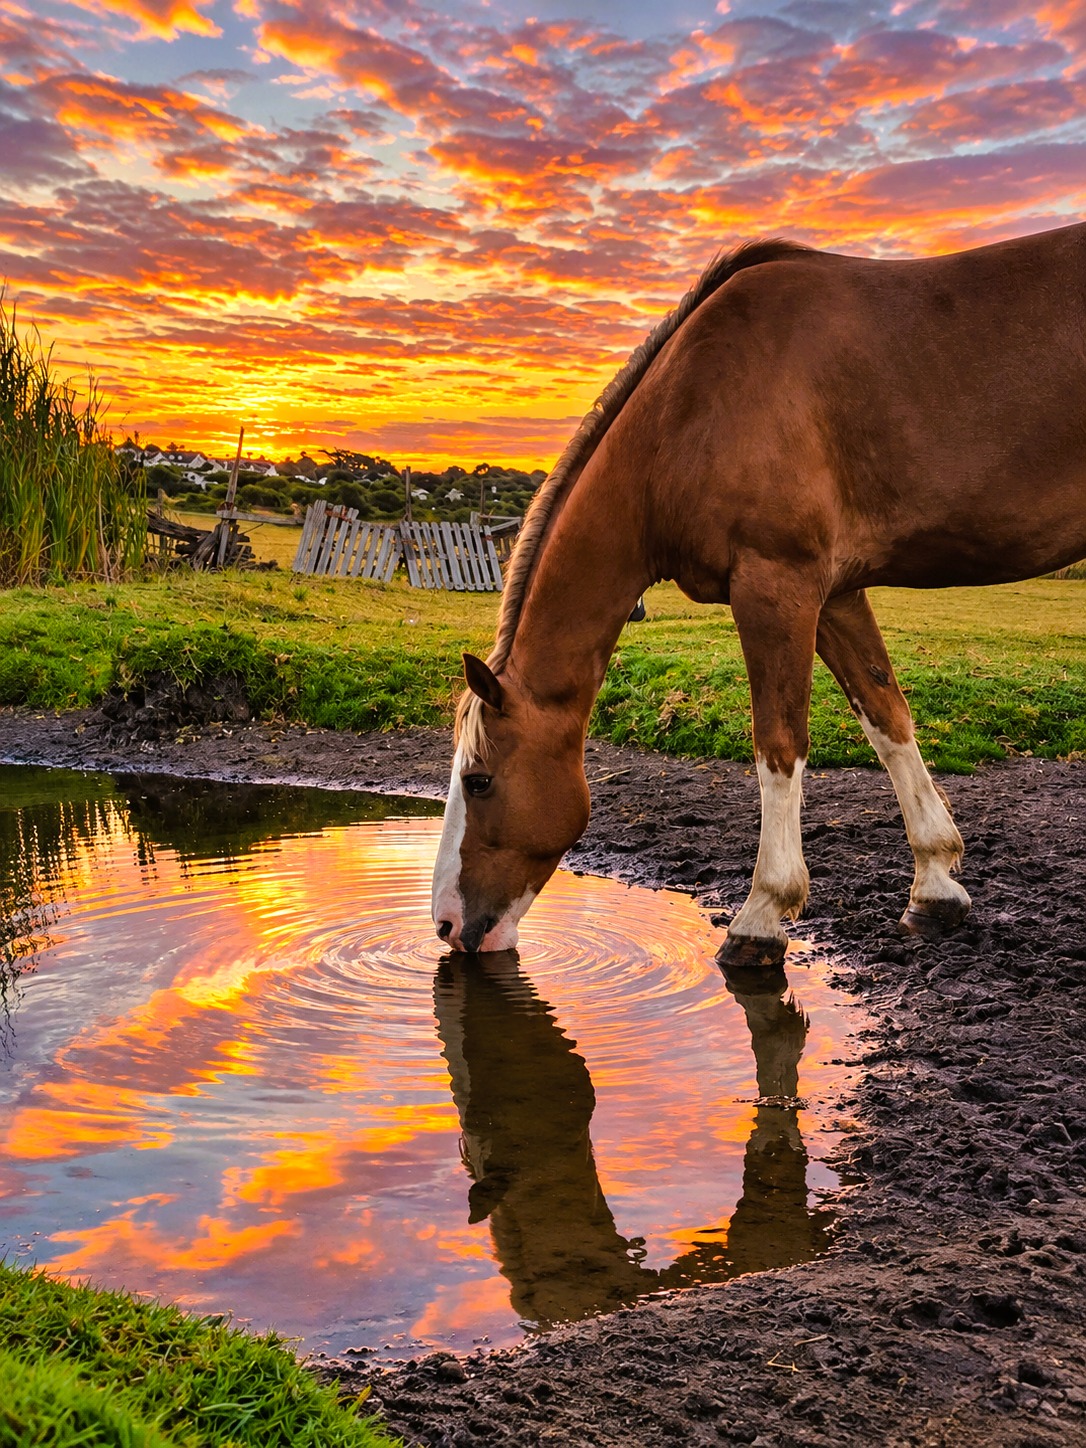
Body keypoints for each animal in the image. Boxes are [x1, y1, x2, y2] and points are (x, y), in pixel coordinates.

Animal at [431, 222, 1086, 964]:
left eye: (479, 780)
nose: (447, 925)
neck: (691, 409)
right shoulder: (834, 595)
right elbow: (887, 718)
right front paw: (936, 887)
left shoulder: (776, 584)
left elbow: (778, 743)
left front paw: (761, 916)